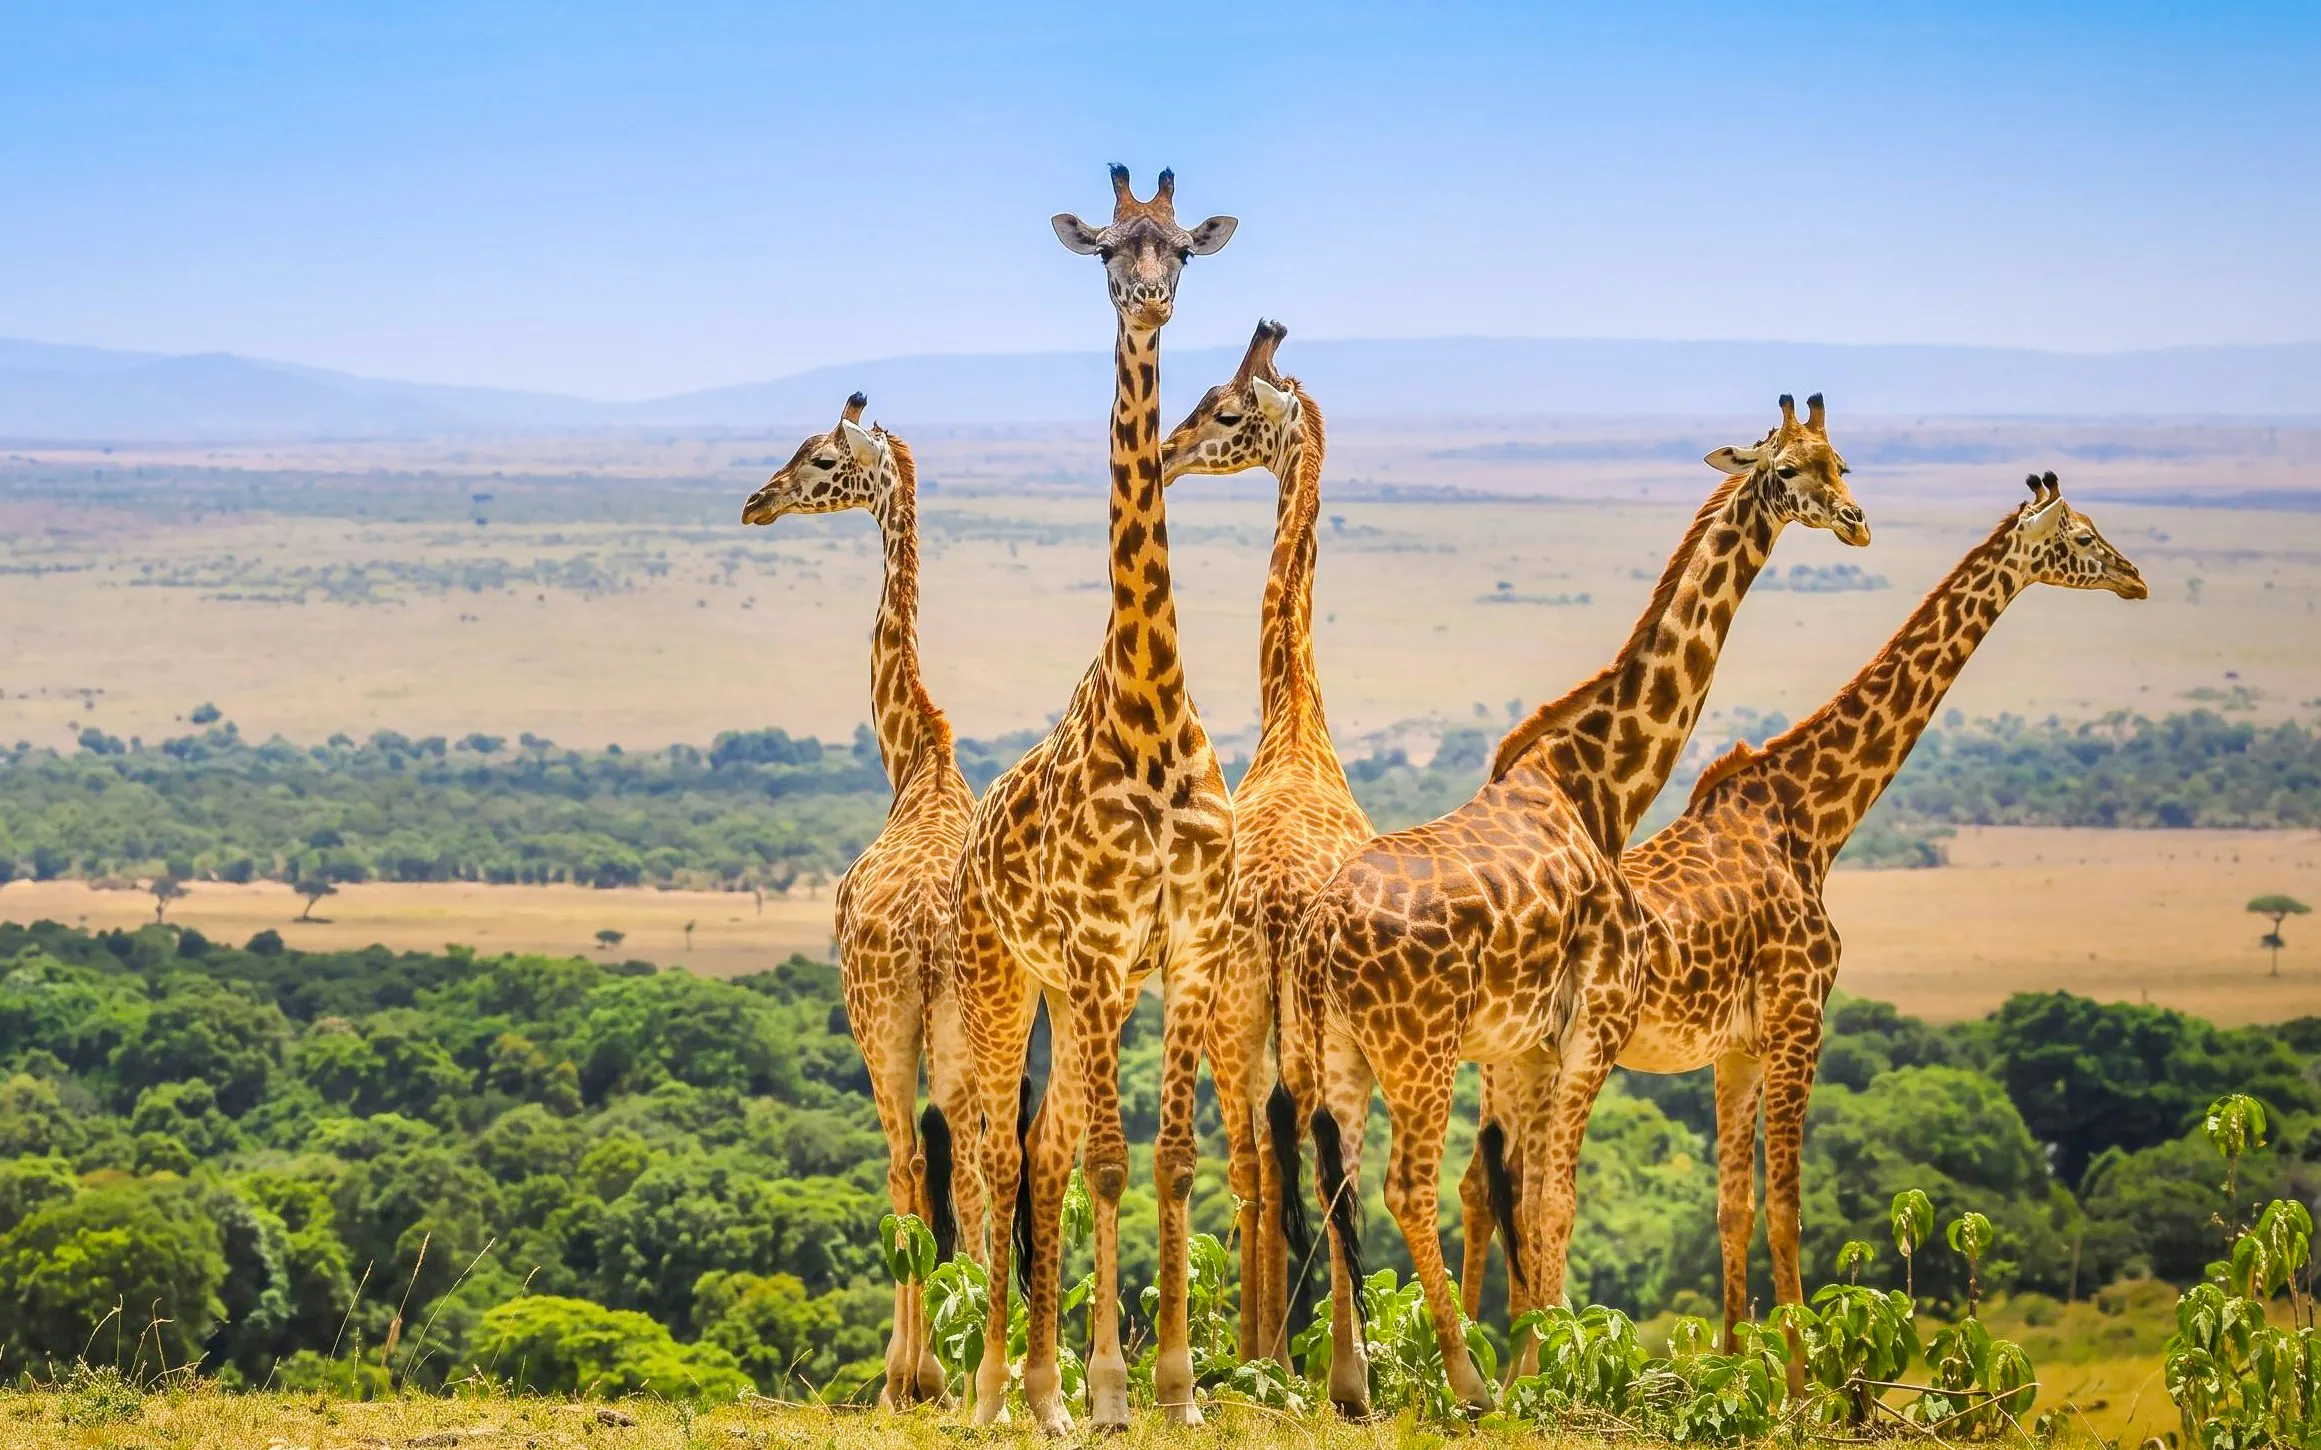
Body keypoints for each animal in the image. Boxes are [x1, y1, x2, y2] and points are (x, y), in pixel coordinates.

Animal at [1279, 395, 1870, 1416]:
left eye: (1839, 460)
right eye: (1789, 470)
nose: (1855, 521)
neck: (1595, 786)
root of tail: (1318, 936)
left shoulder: (1529, 1044)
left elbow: (1528, 1195)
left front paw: (1543, 1360)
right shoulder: (1588, 1026)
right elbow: (1553, 1198)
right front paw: (1553, 1371)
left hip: (1340, 1051)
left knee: (1341, 1182)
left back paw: (1350, 1388)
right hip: (1420, 1051)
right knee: (1402, 1187)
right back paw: (1466, 1383)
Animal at [1459, 471, 2145, 1386]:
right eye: (2080, 535)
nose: (2134, 579)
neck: (1812, 820)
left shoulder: (1738, 1047)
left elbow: (1732, 1209)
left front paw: (1728, 1370)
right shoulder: (1799, 1021)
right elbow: (1786, 1210)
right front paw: (1798, 1386)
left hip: (1505, 1058)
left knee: (1479, 1186)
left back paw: (1481, 1368)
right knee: (1518, 1190)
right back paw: (1510, 1368)